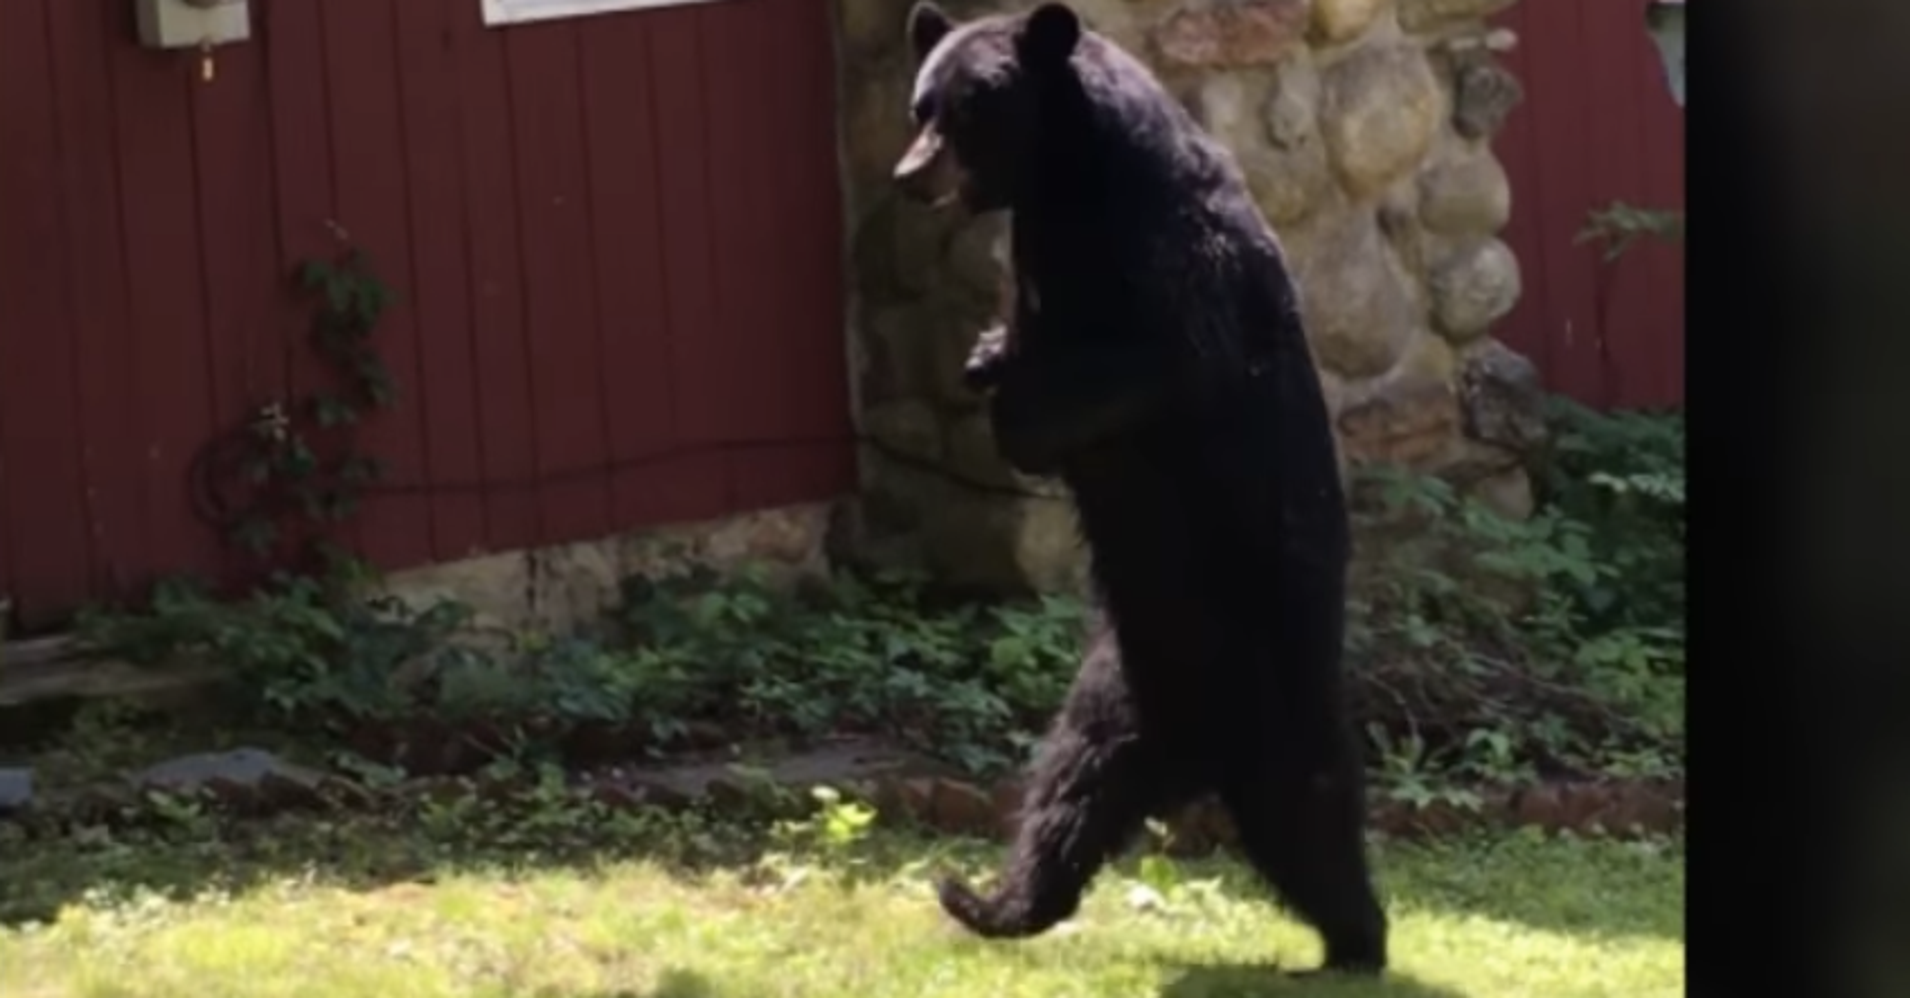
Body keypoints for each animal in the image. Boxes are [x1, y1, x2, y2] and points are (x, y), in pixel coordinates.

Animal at [891, 1, 1389, 976]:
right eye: (922, 104)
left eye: (969, 110)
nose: (909, 176)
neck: (1068, 184)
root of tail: (1192, 750)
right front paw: (987, 357)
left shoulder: (1169, 254)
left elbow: (1164, 360)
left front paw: (1013, 401)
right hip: (1113, 692)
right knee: (1065, 798)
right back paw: (984, 899)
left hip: (1278, 693)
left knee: (1313, 818)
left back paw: (1358, 943)